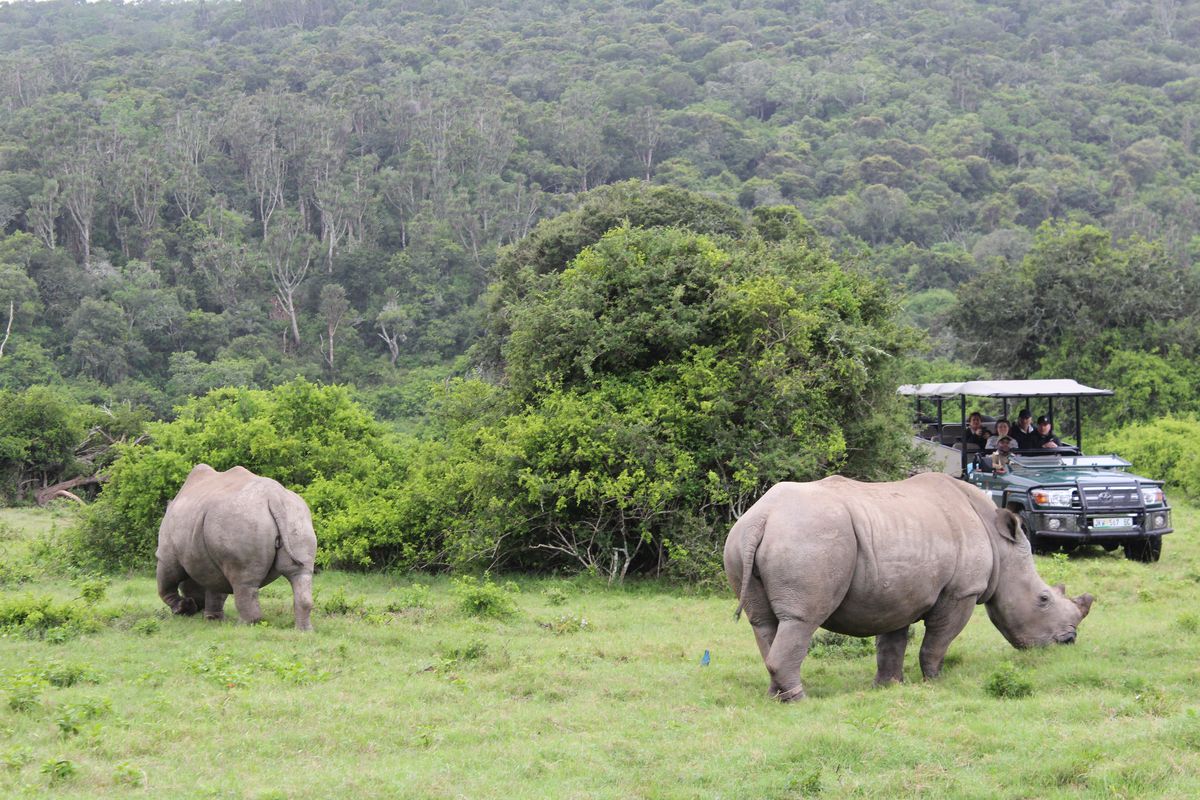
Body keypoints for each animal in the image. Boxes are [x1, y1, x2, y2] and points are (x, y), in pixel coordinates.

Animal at [156, 464, 317, 631]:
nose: (196, 608)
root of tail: (275, 497)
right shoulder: (211, 562)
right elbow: (215, 589)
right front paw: (212, 619)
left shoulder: (167, 554)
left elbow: (166, 583)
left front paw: (183, 608)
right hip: (296, 515)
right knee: (299, 572)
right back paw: (304, 631)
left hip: (241, 519)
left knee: (243, 580)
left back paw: (242, 626)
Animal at [724, 472, 1093, 700]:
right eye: (1043, 599)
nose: (1069, 641)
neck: (999, 544)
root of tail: (763, 518)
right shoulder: (962, 592)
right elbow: (937, 642)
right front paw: (936, 682)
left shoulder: (898, 592)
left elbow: (892, 642)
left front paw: (888, 686)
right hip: (808, 537)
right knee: (802, 620)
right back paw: (800, 700)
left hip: (745, 538)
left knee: (765, 623)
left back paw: (777, 697)